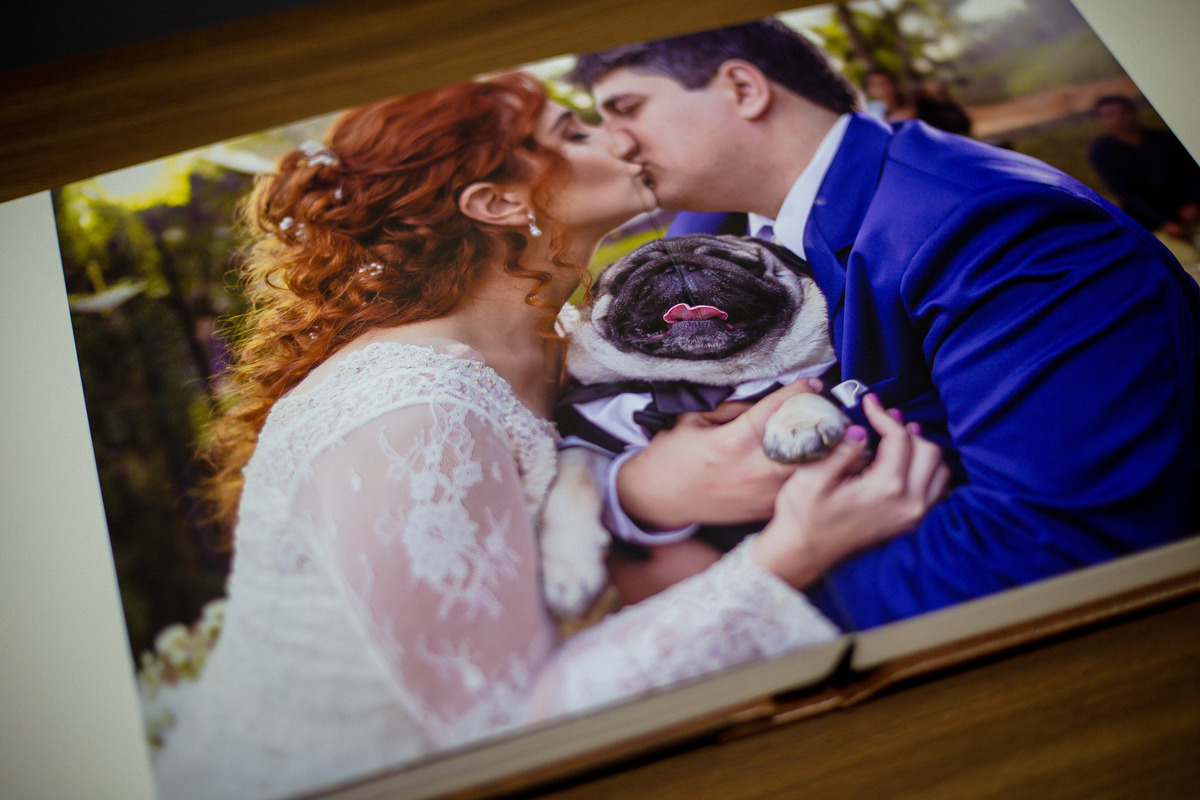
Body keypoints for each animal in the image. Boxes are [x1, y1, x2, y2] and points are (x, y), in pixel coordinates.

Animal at [541, 234, 859, 620]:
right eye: (632, 274)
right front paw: (569, 571)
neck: (694, 386)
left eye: (738, 263)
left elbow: (798, 386)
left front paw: (799, 423)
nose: (678, 266)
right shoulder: (591, 433)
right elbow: (571, 483)